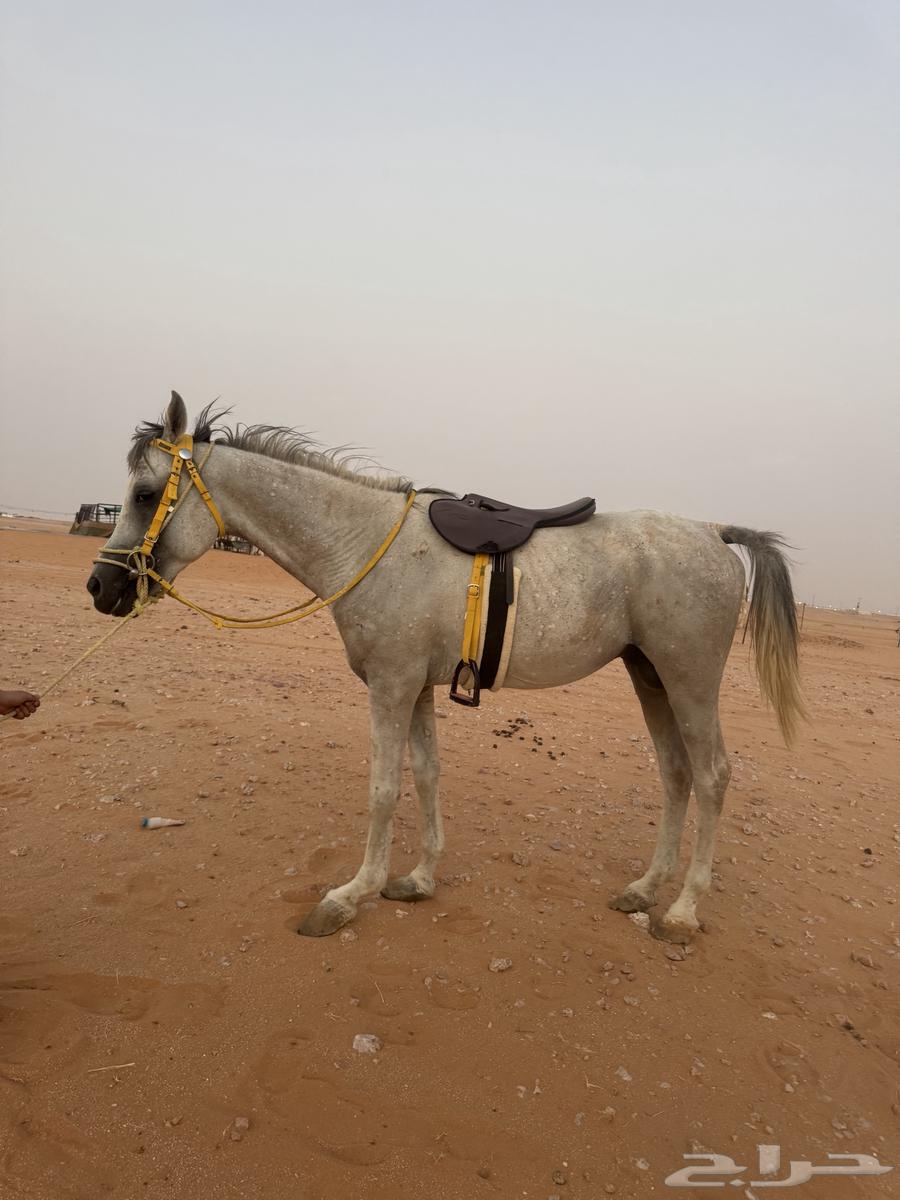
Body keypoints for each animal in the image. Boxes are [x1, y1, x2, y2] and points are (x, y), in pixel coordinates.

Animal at [87, 392, 804, 944]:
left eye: (145, 494)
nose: (101, 587)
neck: (360, 543)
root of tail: (714, 532)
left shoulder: (390, 687)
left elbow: (383, 790)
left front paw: (350, 895)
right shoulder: (417, 689)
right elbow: (427, 775)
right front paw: (419, 879)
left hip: (690, 682)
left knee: (711, 777)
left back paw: (681, 911)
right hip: (650, 676)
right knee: (676, 775)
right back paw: (646, 888)